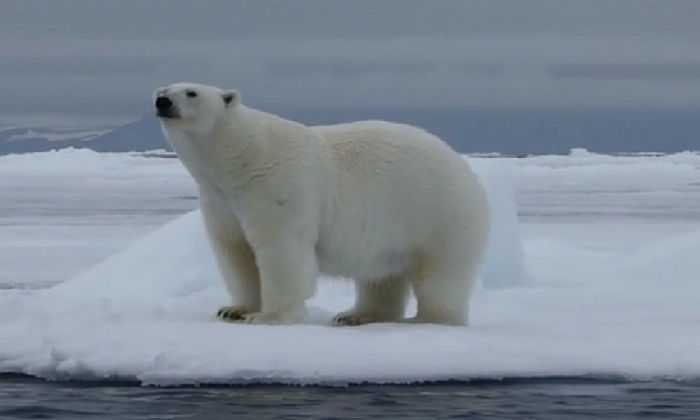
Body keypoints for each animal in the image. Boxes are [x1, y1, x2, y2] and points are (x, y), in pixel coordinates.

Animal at [156, 81, 490, 324]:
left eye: (191, 91)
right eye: (163, 89)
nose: (163, 101)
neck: (243, 156)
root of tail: (467, 171)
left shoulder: (277, 187)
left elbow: (281, 251)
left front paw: (268, 316)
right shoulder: (221, 200)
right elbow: (235, 253)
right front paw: (234, 309)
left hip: (438, 214)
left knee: (441, 275)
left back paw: (428, 320)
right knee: (381, 277)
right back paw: (356, 315)